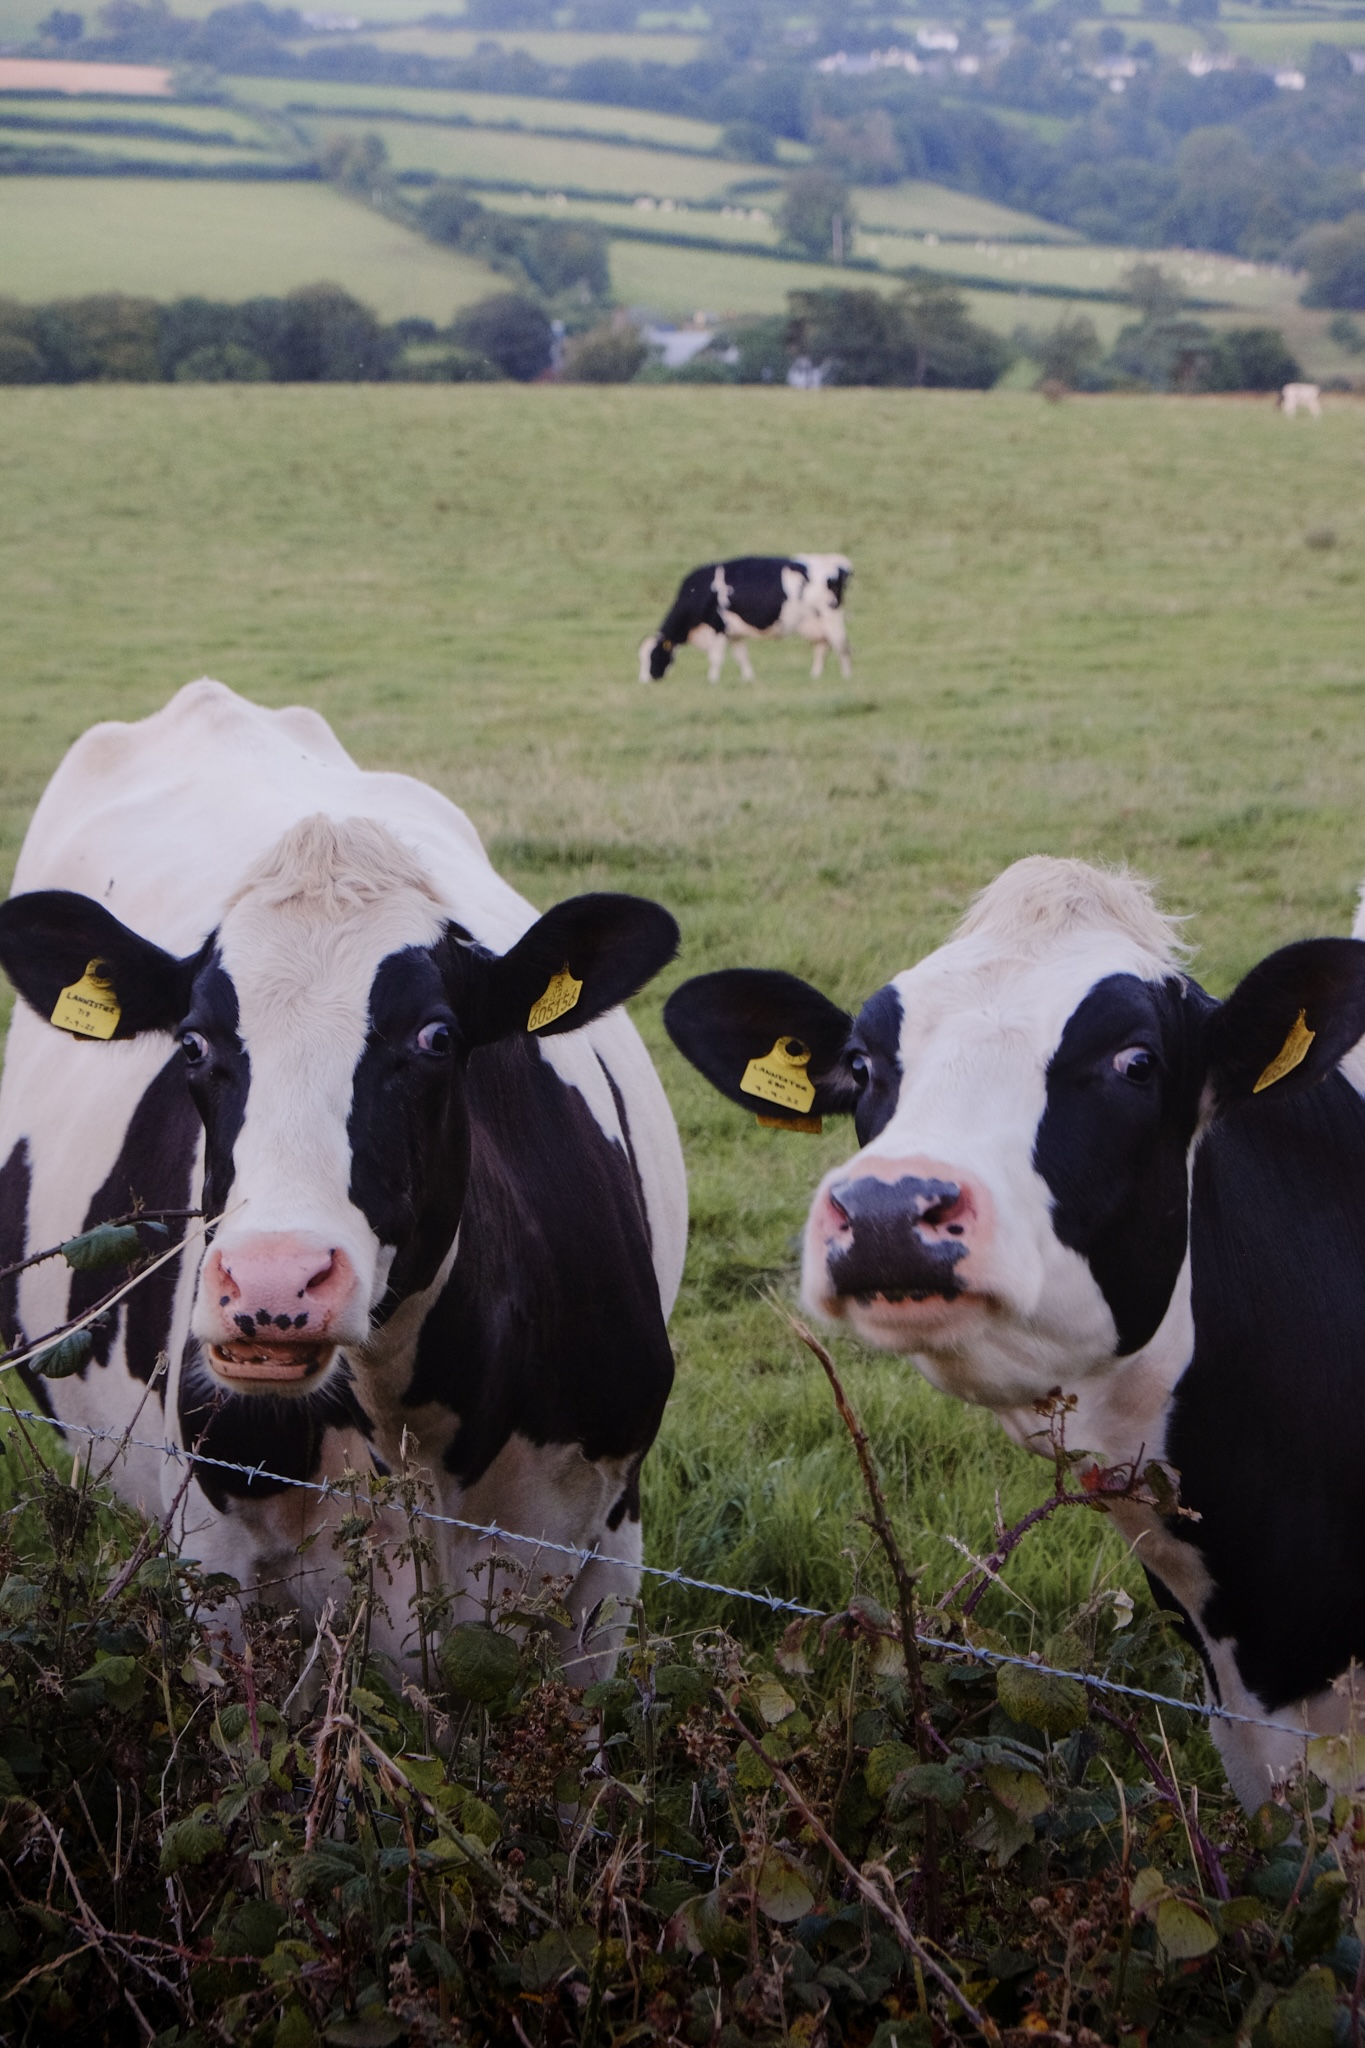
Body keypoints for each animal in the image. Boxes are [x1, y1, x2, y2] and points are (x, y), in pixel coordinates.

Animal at [0, 679, 688, 1686]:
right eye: (192, 1044)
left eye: (438, 1037)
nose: (275, 1281)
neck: (415, 1425)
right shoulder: (214, 1562)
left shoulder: (608, 1554)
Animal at [639, 555, 853, 684]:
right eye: (640, 657)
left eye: (654, 656)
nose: (644, 682)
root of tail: (836, 563)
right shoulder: (734, 634)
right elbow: (741, 657)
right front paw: (749, 679)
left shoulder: (717, 627)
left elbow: (716, 658)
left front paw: (712, 681)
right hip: (815, 622)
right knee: (822, 647)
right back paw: (815, 677)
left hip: (831, 617)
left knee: (842, 647)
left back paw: (846, 676)